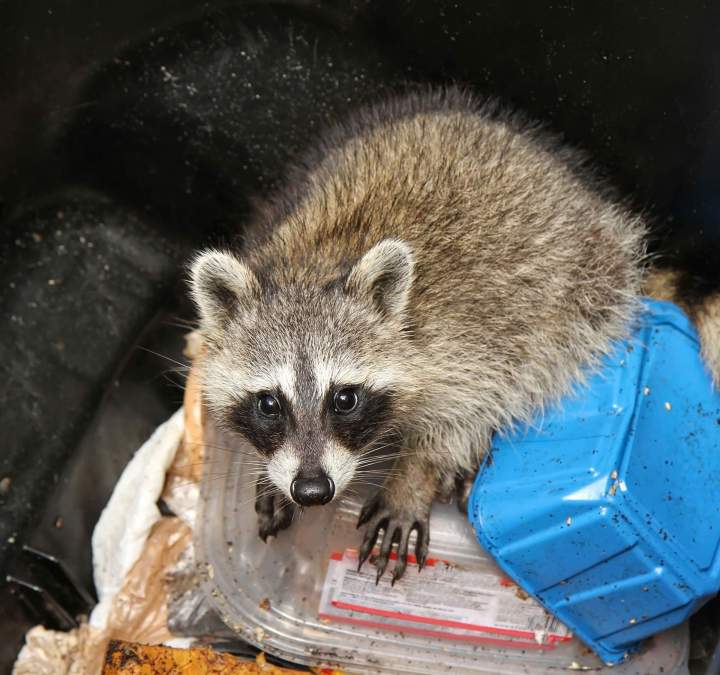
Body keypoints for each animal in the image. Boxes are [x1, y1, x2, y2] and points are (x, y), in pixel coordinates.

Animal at [189, 88, 716, 583]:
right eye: (268, 403)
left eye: (344, 399)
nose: (313, 490)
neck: (312, 267)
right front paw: (269, 471)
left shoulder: (470, 339)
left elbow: (464, 414)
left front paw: (413, 475)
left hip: (582, 289)